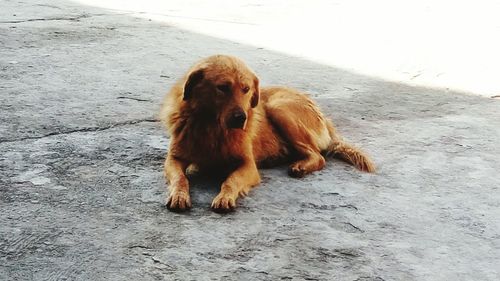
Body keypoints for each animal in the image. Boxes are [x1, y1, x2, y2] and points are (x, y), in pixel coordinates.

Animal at [160, 54, 376, 211]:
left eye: (246, 89)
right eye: (222, 88)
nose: (241, 118)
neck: (212, 128)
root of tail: (323, 115)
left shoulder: (248, 166)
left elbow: (231, 181)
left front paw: (225, 197)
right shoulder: (174, 158)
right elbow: (180, 178)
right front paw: (178, 195)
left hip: (279, 108)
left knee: (318, 156)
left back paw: (300, 166)